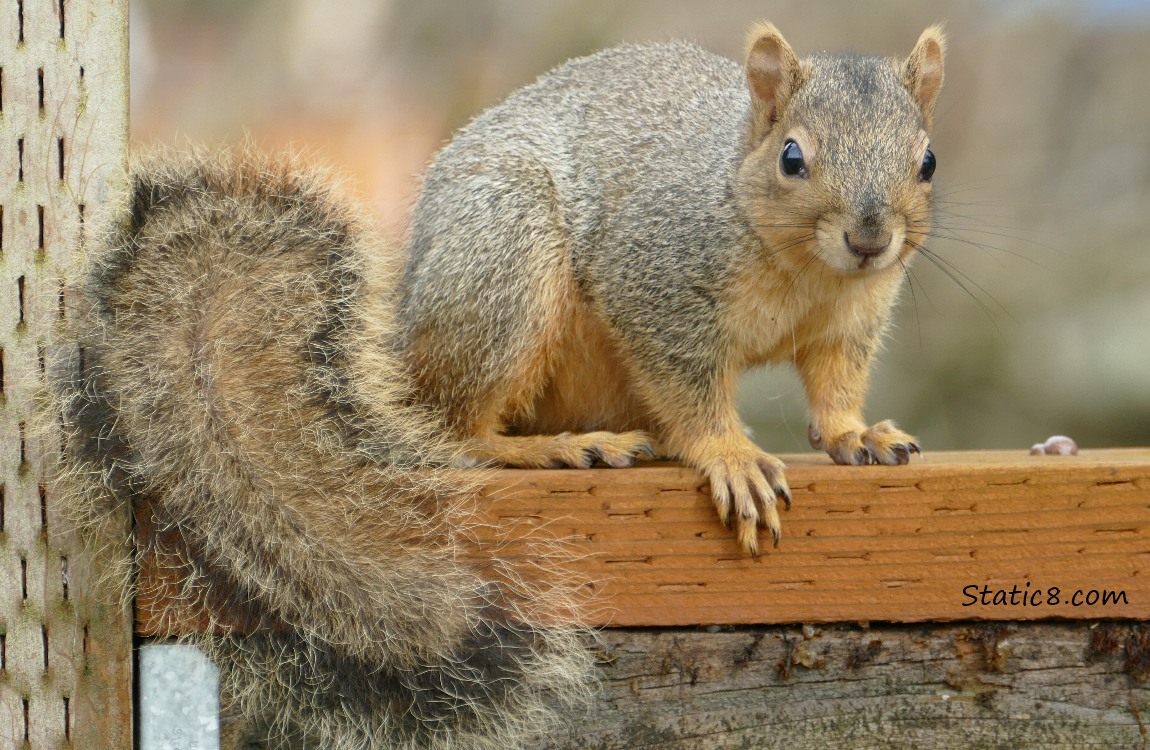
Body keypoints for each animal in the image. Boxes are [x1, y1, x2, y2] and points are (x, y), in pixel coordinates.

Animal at [56, 21, 943, 750]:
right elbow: (688, 385)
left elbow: (834, 387)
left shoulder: (852, 319)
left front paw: (856, 434)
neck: (802, 268)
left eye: (926, 161)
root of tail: (402, 349)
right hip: (506, 261)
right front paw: (729, 455)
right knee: (459, 433)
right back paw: (554, 449)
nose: (870, 236)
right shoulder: (655, 280)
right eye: (793, 157)